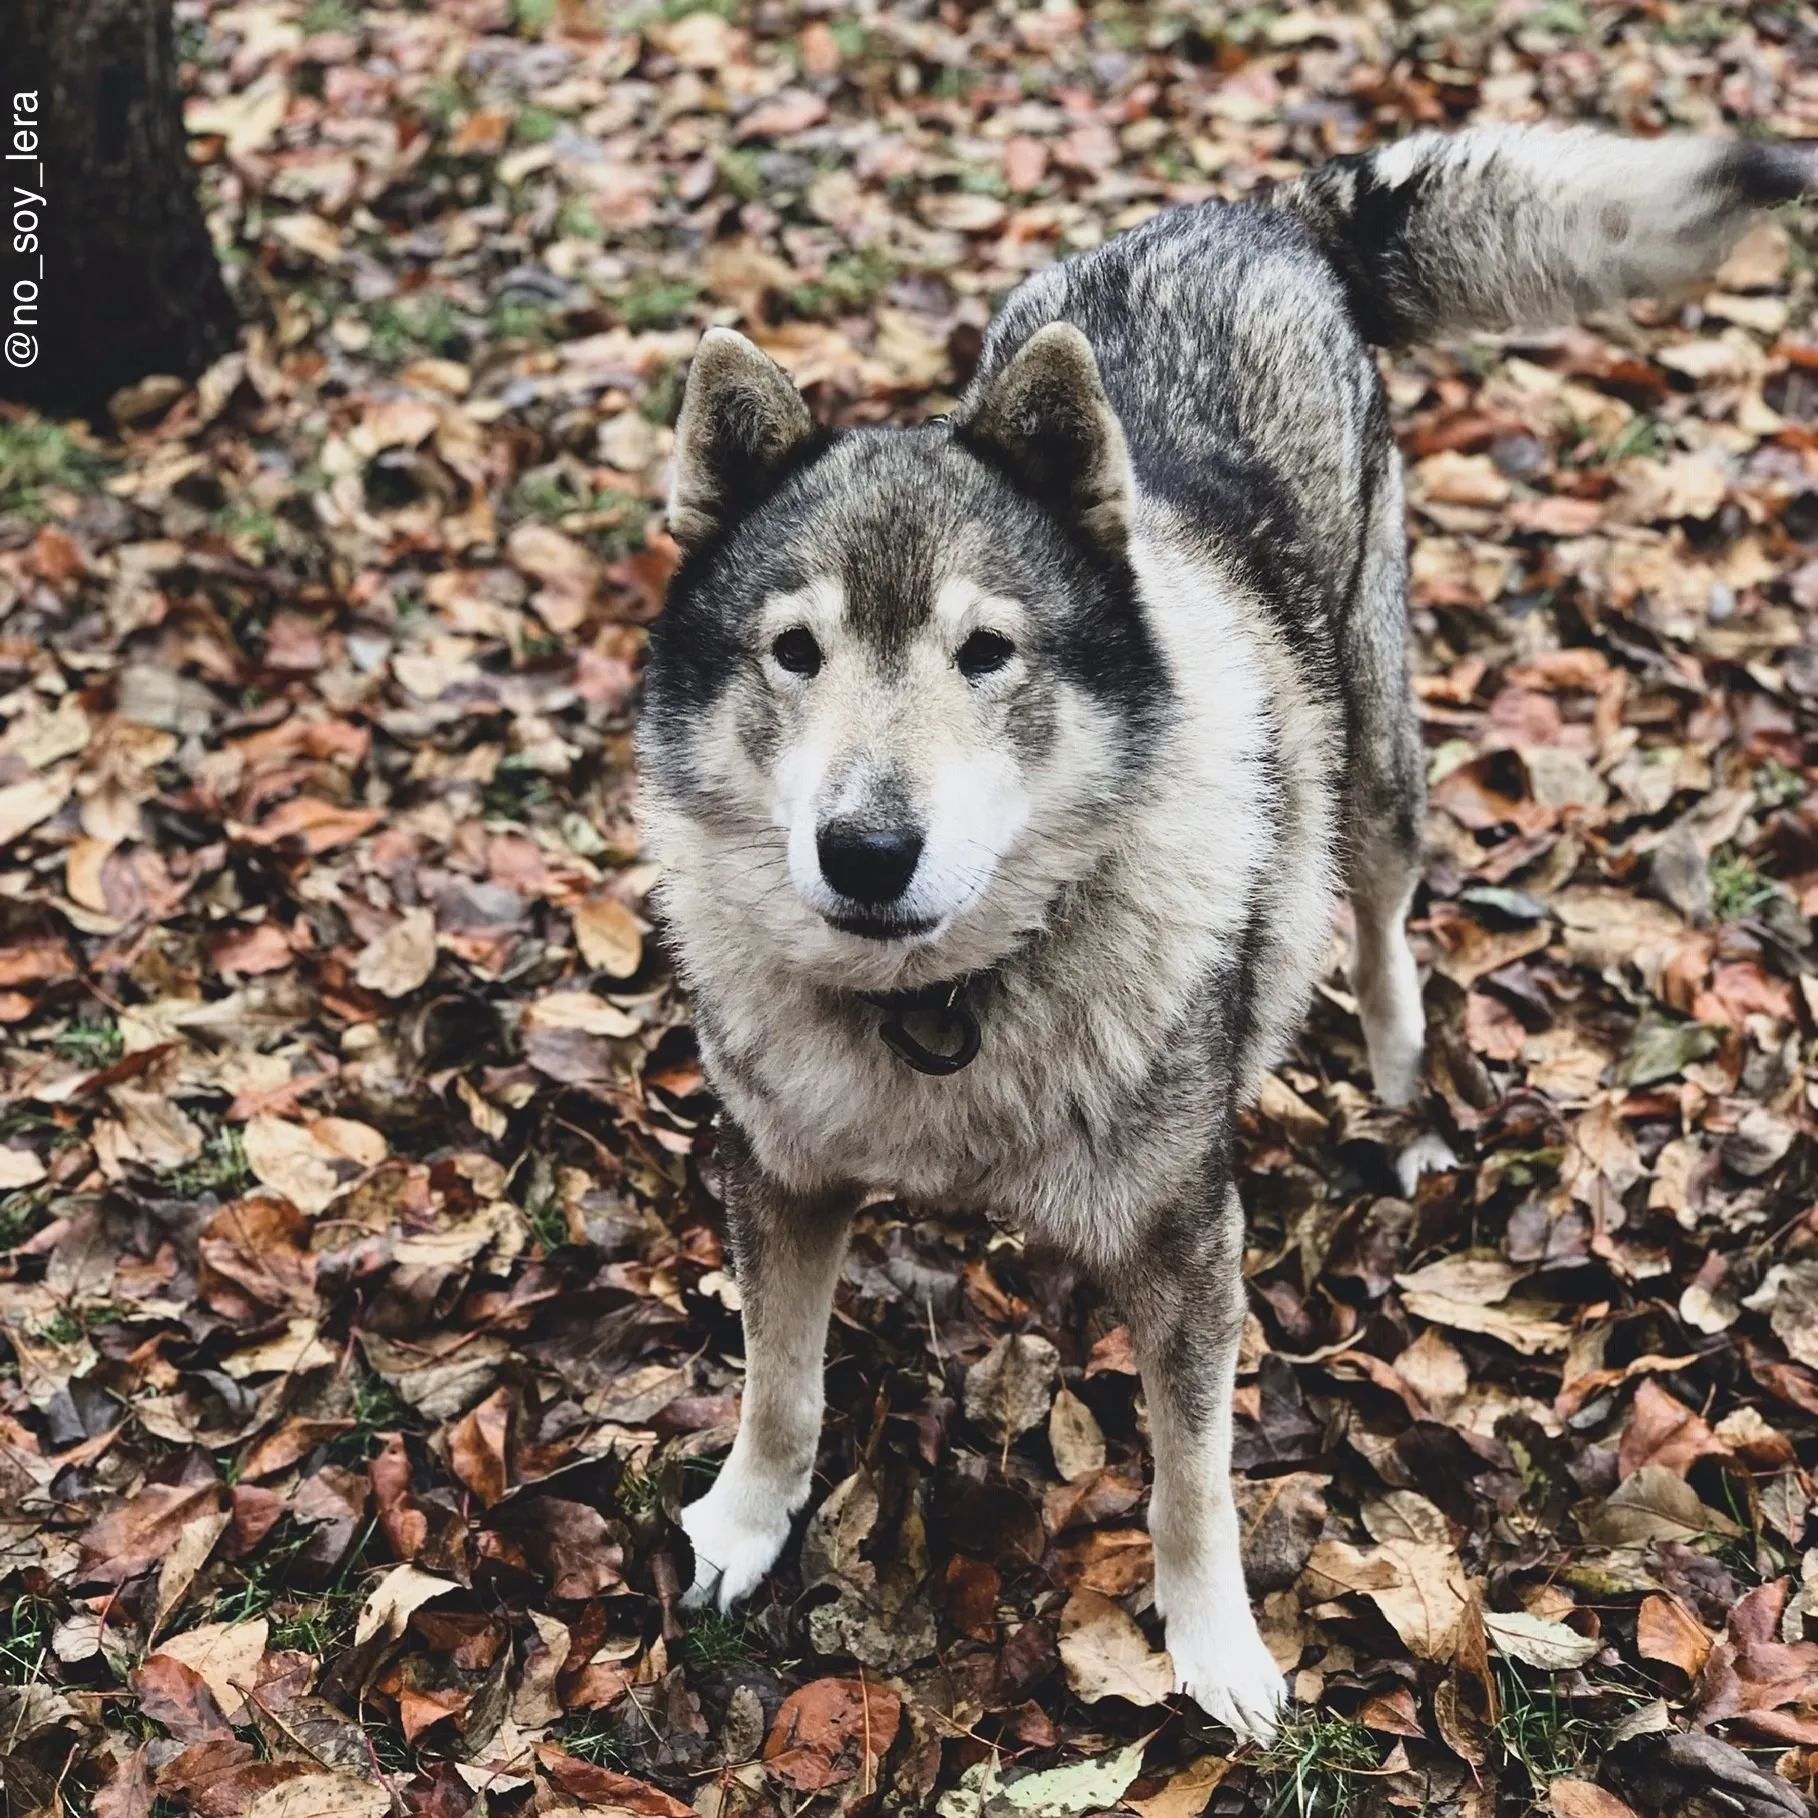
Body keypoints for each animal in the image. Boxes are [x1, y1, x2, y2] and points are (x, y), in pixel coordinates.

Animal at [632, 128, 1810, 1730]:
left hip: (1376, 779)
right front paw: (742, 1528)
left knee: (1378, 922)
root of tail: (1265, 214)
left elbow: (1190, 1481)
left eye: (984, 652)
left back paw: (1399, 1087)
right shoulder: (781, 1181)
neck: (946, 1012)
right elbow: (779, 1386)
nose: (866, 852)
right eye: (794, 651)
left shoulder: (1192, 1244)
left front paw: (1217, 1653)